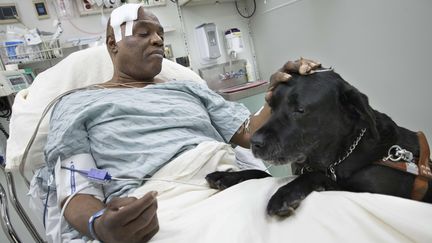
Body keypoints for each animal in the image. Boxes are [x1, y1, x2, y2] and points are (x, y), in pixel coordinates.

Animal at [206, 70, 432, 216]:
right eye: (271, 105)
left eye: (300, 109)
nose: (255, 142)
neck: (342, 154)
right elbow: (261, 173)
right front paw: (227, 176)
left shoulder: (375, 195)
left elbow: (318, 176)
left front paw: (285, 193)